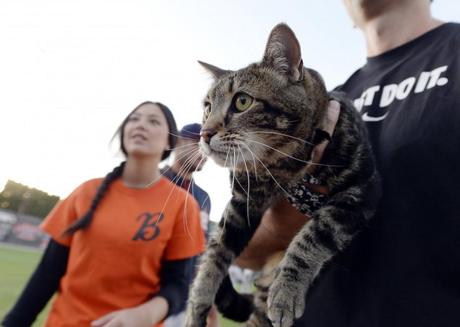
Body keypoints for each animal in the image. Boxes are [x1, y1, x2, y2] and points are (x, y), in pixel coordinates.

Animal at [185, 23, 380, 327]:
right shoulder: (243, 202)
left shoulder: (359, 192)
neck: (281, 165)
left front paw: (286, 290)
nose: (204, 133)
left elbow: (313, 237)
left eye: (242, 101)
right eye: (207, 106)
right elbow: (215, 253)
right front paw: (197, 302)